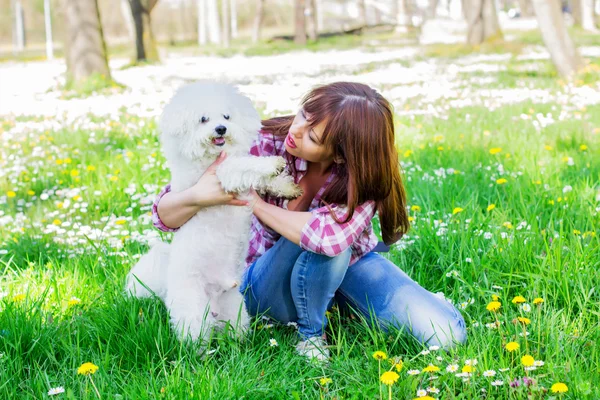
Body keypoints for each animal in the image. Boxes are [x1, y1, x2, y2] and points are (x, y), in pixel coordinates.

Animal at [127, 82, 302, 344]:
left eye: (227, 116)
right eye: (203, 119)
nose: (221, 128)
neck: (210, 155)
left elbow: (264, 180)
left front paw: (288, 187)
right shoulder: (221, 174)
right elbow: (243, 165)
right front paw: (271, 164)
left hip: (235, 307)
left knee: (233, 330)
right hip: (192, 309)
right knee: (194, 334)